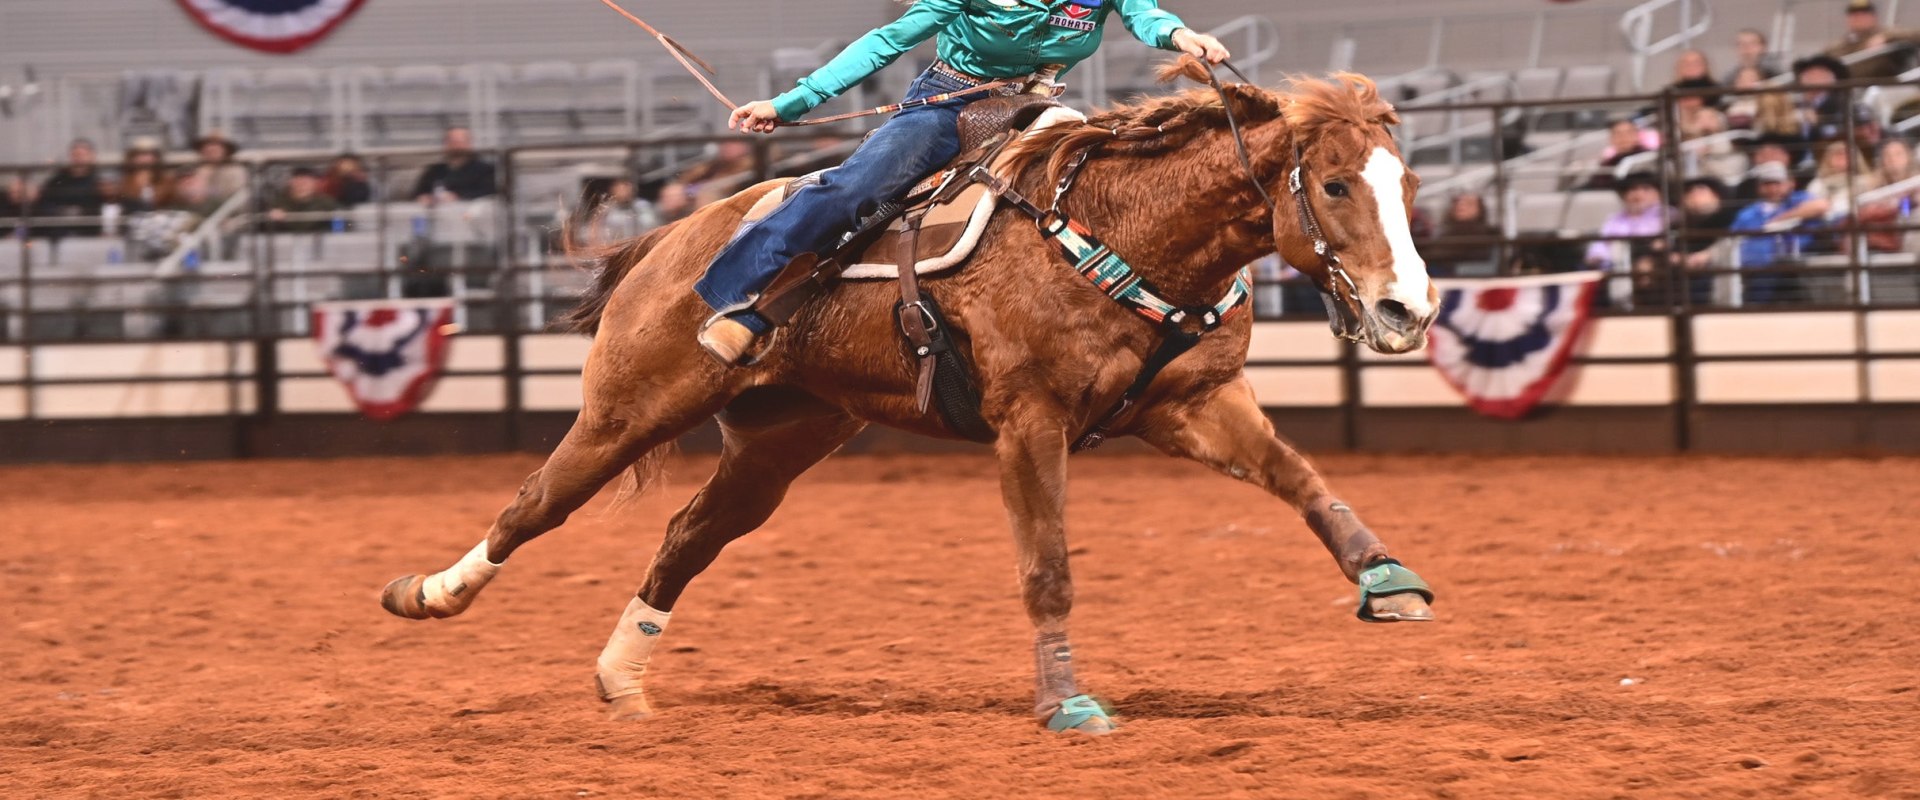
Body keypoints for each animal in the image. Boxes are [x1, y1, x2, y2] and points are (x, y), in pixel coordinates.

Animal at [382, 65, 1443, 732]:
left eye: (1410, 185)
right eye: (1336, 185)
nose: (1409, 309)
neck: (1123, 230)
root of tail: (671, 238)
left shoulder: (1196, 402)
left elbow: (1301, 480)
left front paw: (1387, 579)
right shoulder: (1029, 422)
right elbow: (1047, 569)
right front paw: (1066, 704)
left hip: (778, 444)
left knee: (687, 537)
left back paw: (621, 682)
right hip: (627, 408)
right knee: (534, 506)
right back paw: (427, 594)